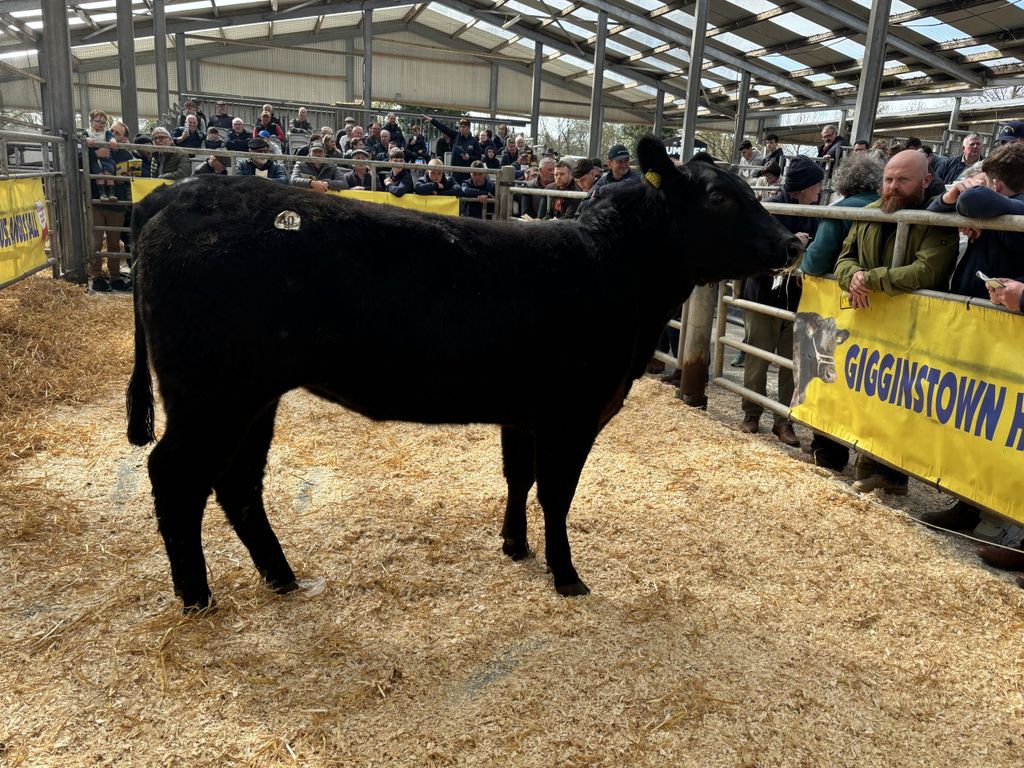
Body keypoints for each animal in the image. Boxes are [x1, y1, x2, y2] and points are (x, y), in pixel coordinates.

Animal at [126, 136, 802, 612]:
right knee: (176, 475)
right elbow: (557, 493)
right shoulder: (574, 411)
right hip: (211, 394)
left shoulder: (525, 411)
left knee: (237, 481)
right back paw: (197, 598)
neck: (615, 266)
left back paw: (282, 577)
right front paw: (566, 576)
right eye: (718, 196)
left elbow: (519, 478)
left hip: (252, 396)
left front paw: (515, 547)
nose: (792, 243)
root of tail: (174, 195)